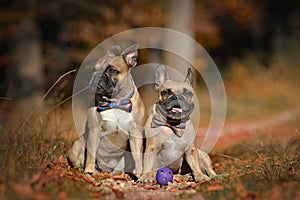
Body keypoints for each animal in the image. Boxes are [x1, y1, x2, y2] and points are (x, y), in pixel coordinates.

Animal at [67, 44, 145, 176]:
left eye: (112, 70)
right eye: (93, 70)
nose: (97, 75)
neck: (116, 102)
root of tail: (105, 170)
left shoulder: (135, 133)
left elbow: (138, 157)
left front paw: (140, 174)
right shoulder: (94, 131)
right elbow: (91, 156)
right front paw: (89, 171)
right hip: (77, 145)